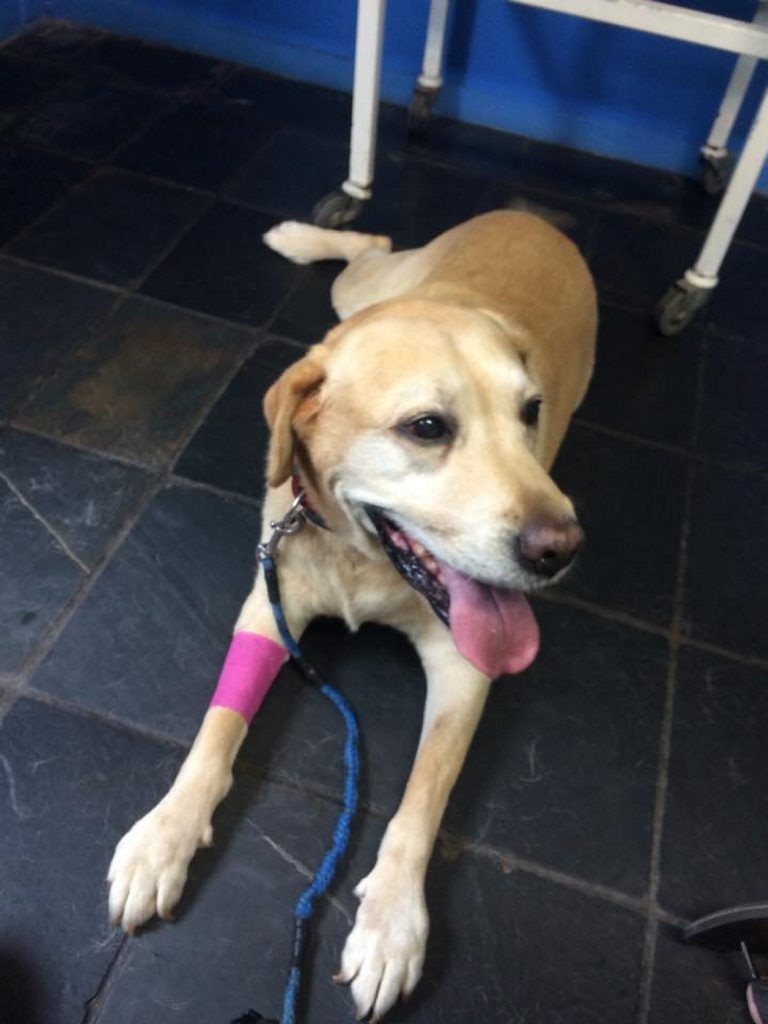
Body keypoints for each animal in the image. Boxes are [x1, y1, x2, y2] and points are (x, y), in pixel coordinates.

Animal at [109, 211, 593, 1019]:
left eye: (530, 413)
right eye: (426, 427)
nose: (560, 549)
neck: (363, 564)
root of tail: (533, 217)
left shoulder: (465, 667)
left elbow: (425, 792)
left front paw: (392, 920)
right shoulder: (267, 606)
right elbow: (218, 728)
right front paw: (164, 836)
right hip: (360, 288)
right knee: (367, 245)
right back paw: (299, 236)